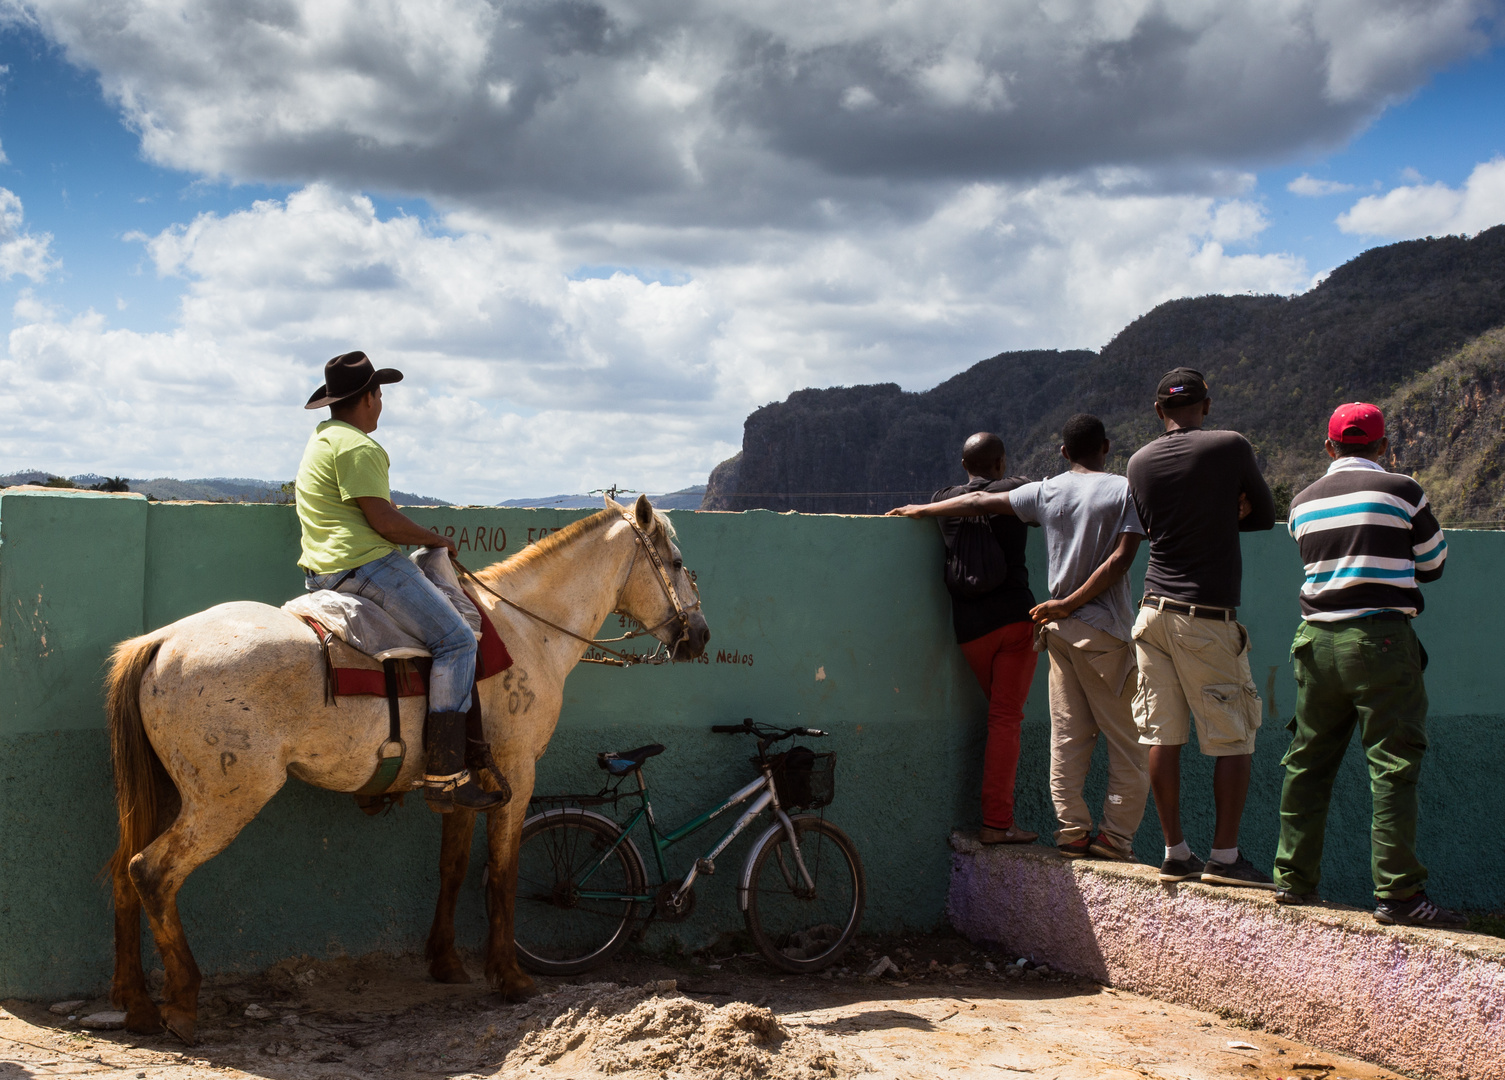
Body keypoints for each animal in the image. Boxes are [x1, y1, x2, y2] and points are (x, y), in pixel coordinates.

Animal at [106, 496, 704, 1040]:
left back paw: (136, 1003)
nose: (698, 635)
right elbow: (503, 873)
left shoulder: (467, 785)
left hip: (168, 791)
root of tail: (161, 640)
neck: (524, 630)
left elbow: (453, 867)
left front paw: (446, 963)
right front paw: (510, 978)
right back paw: (182, 1003)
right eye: (676, 562)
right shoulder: (516, 772)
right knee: (152, 872)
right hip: (227, 797)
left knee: (121, 874)